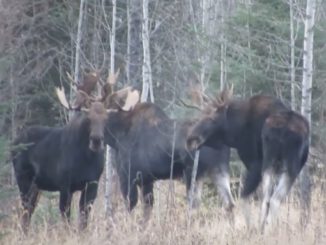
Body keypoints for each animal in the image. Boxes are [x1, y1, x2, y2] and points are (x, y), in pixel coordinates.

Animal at [11, 70, 139, 232]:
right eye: (88, 118)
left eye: (106, 118)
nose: (96, 140)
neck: (86, 160)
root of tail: (13, 143)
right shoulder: (65, 184)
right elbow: (66, 217)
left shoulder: (92, 184)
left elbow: (84, 218)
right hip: (24, 179)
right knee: (25, 211)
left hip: (36, 186)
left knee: (28, 211)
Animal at [104, 100, 234, 220]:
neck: (115, 136)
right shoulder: (146, 180)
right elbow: (147, 209)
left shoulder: (127, 176)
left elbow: (130, 205)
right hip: (219, 169)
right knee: (229, 203)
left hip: (193, 172)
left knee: (194, 205)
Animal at [187, 86, 310, 232]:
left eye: (211, 118)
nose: (190, 139)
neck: (235, 133)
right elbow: (251, 196)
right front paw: (254, 227)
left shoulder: (254, 163)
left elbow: (244, 197)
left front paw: (251, 228)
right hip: (287, 164)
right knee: (272, 198)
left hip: (272, 161)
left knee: (268, 198)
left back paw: (265, 229)